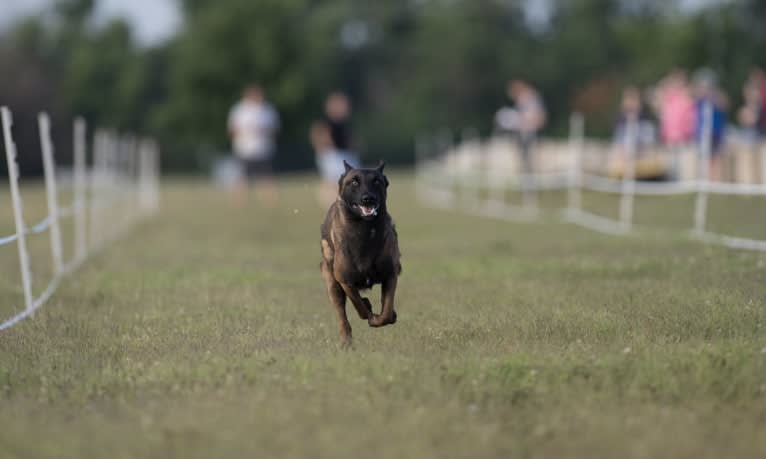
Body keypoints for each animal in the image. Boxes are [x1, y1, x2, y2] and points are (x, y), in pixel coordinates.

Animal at [320, 160, 402, 344]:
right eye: (354, 182)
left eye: (377, 181)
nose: (368, 198)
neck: (365, 229)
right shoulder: (345, 279)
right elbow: (358, 304)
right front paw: (368, 311)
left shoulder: (390, 274)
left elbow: (386, 310)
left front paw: (383, 317)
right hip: (332, 285)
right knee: (342, 315)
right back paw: (346, 341)